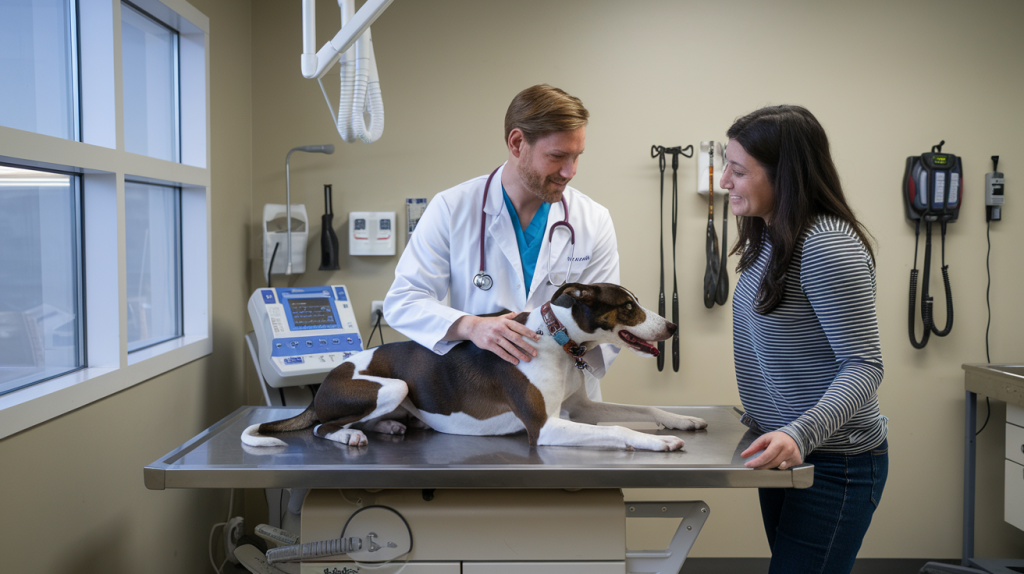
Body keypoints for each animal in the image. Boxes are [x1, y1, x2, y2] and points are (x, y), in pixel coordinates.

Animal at [240, 282, 708, 452]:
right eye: (628, 307)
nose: (672, 325)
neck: (557, 340)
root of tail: (324, 384)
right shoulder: (544, 426)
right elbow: (618, 429)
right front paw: (658, 442)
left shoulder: (580, 408)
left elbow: (642, 410)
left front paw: (681, 420)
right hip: (390, 387)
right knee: (323, 427)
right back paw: (352, 433)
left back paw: (389, 426)